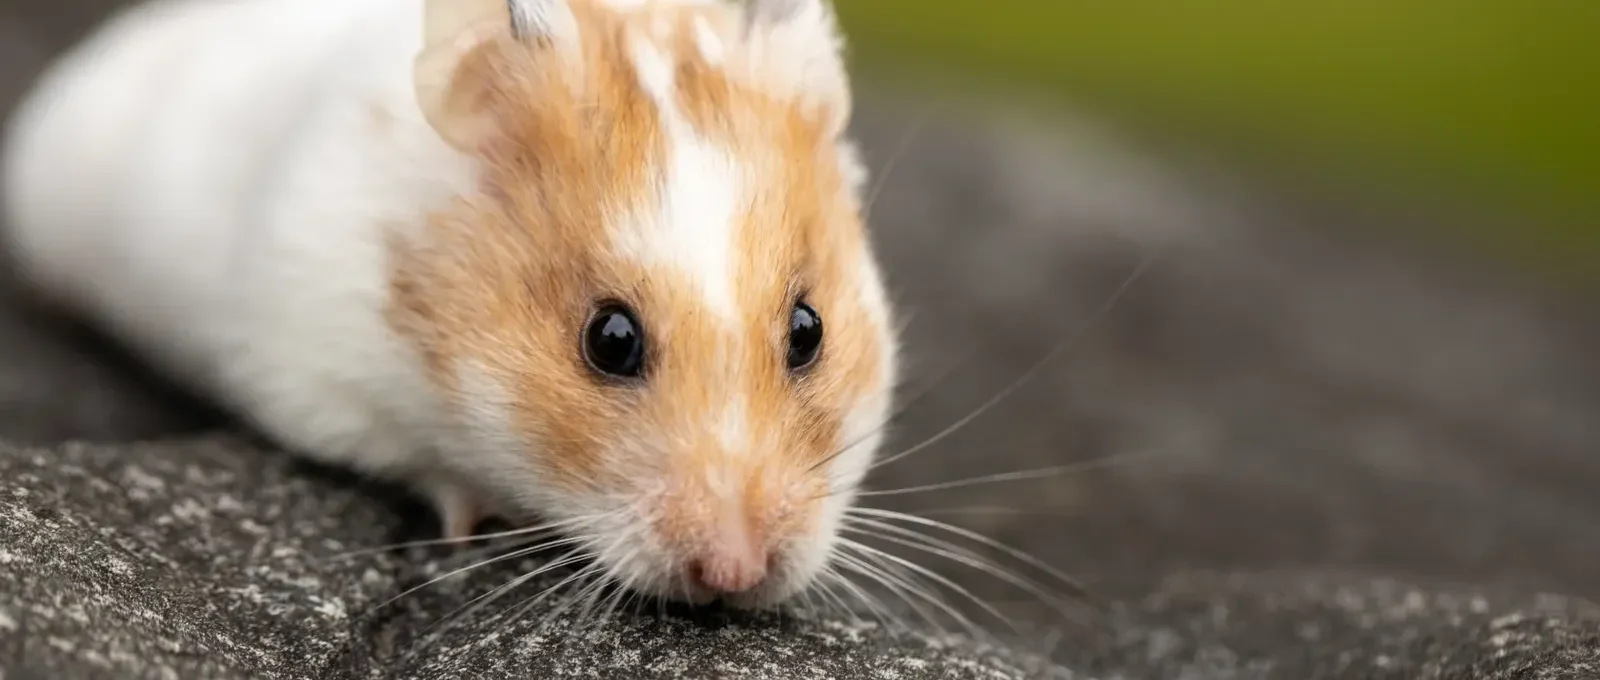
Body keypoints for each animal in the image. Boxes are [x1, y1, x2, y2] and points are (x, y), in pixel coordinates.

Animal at [1, 0, 898, 609]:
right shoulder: (314, 374)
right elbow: (433, 469)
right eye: (609, 340)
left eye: (809, 330)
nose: (734, 574)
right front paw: (482, 518)